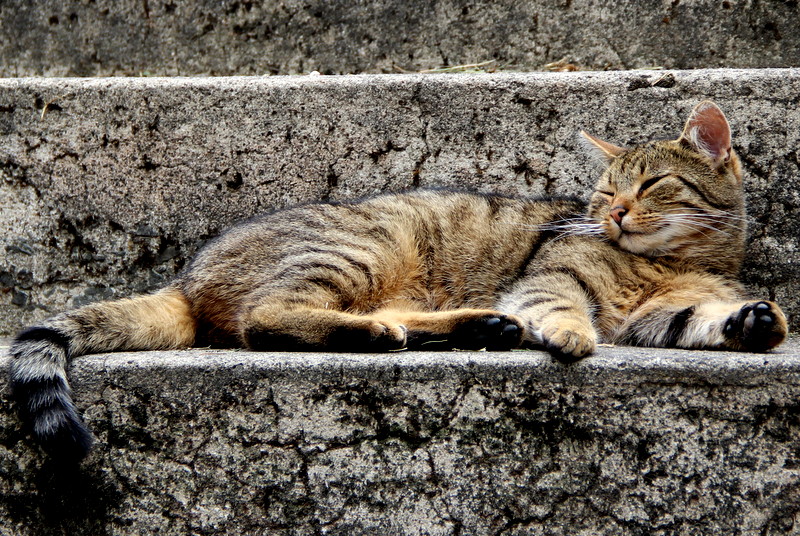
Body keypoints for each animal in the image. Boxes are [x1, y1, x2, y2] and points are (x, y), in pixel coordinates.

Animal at [6, 100, 788, 460]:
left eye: (651, 185)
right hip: (360, 250)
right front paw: (568, 336)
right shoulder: (552, 279)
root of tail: (187, 274)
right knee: (268, 318)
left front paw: (756, 319)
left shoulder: (663, 314)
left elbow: (702, 321)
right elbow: (561, 304)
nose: (615, 214)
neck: (677, 261)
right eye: (603, 193)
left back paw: (478, 326)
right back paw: (394, 332)